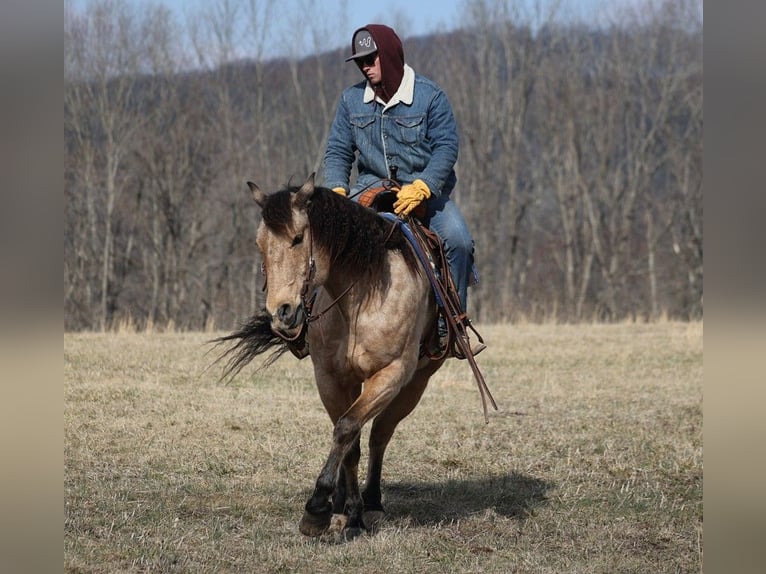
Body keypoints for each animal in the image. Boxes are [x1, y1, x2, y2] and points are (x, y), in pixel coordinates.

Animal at [213, 174, 496, 540]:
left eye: (298, 238)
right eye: (259, 243)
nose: (281, 313)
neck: (361, 296)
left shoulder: (391, 374)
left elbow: (349, 430)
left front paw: (318, 508)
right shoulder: (331, 379)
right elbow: (348, 439)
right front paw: (342, 510)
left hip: (416, 382)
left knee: (380, 435)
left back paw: (373, 503)